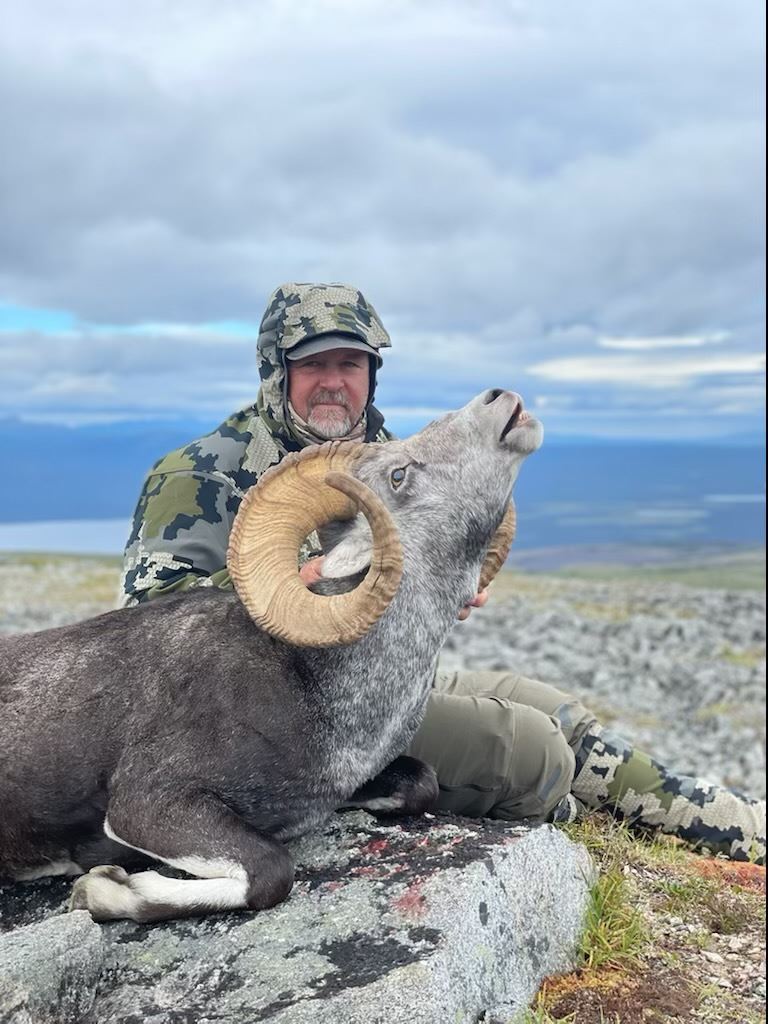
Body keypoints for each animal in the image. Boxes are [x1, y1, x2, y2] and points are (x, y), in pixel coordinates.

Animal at [0, 388, 542, 922]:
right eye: (399, 474)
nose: (501, 399)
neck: (315, 685)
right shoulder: (147, 805)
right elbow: (270, 872)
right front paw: (101, 888)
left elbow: (421, 784)